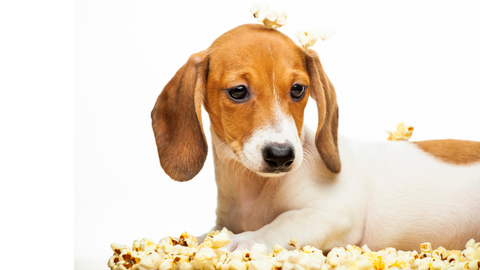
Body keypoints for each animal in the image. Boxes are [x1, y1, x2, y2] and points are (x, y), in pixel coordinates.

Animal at [152, 24, 480, 252]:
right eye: (238, 91)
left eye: (298, 89)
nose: (282, 156)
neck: (253, 189)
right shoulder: (222, 222)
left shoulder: (332, 213)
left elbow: (283, 222)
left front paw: (246, 241)